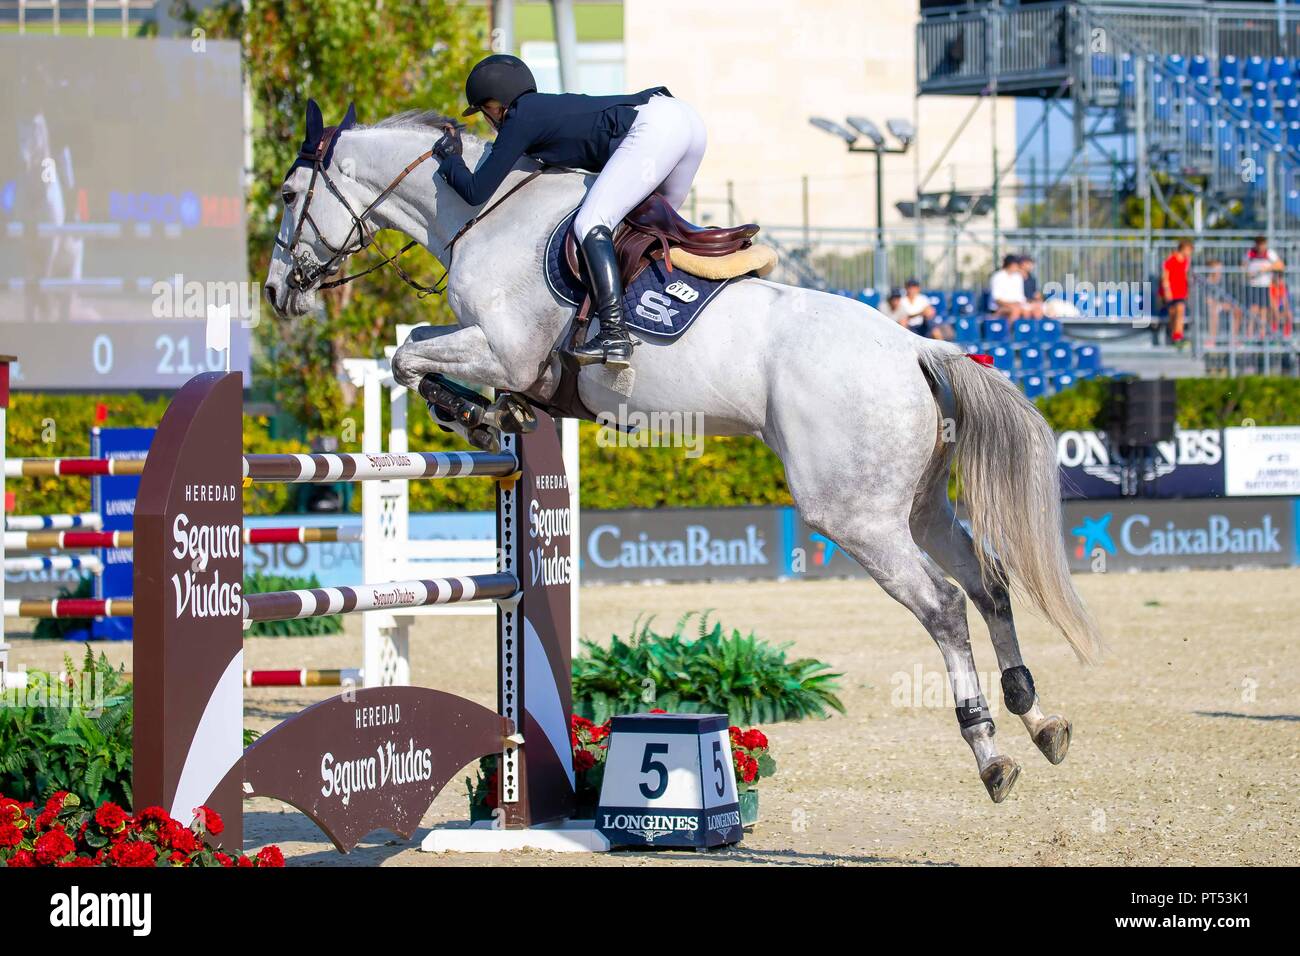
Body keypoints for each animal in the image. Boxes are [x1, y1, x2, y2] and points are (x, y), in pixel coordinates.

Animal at [261, 104, 1097, 806]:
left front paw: (476, 413)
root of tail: (920, 346)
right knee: (989, 584)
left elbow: (407, 354)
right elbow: (413, 348)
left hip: (856, 516)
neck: (481, 214)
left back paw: (990, 753)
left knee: (945, 606)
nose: (274, 292)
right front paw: (489, 412)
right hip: (920, 506)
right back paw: (1040, 719)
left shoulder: (506, 348)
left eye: (288, 192)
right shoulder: (498, 349)